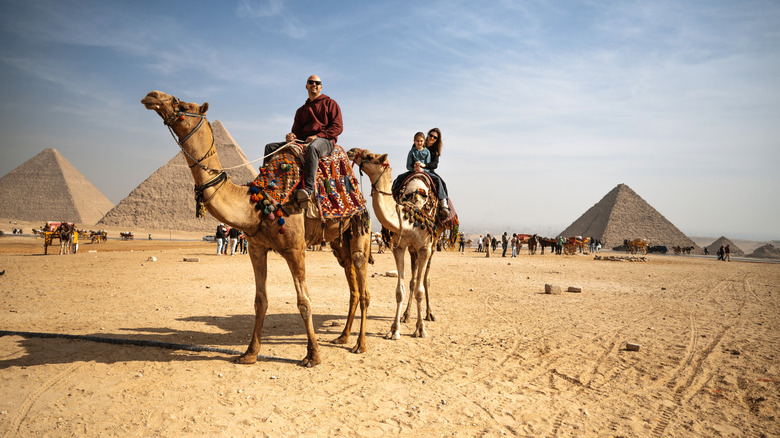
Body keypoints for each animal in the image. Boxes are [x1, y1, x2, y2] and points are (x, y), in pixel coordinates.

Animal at [142, 91, 371, 367]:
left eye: (183, 104)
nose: (152, 96)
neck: (258, 203)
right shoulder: (256, 248)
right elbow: (260, 301)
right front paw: (250, 353)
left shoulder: (295, 249)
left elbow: (304, 302)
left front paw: (313, 355)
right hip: (338, 241)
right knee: (352, 287)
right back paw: (343, 337)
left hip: (360, 229)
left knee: (362, 284)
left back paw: (360, 344)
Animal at [347, 148, 439, 339]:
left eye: (370, 156)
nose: (351, 151)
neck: (410, 218)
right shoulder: (400, 247)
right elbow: (400, 291)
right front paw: (394, 330)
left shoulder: (425, 248)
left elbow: (420, 289)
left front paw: (421, 329)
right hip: (412, 251)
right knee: (413, 280)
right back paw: (406, 315)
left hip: (433, 246)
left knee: (424, 280)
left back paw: (429, 314)